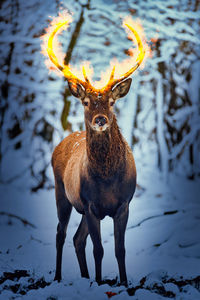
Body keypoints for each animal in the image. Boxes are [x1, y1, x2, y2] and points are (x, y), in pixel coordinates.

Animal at [45, 14, 145, 286]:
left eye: (111, 101)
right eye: (86, 102)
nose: (100, 119)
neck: (107, 179)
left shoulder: (123, 204)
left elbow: (119, 249)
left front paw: (123, 283)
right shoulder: (90, 205)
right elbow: (98, 250)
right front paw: (100, 283)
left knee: (77, 239)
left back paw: (84, 276)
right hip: (61, 192)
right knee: (61, 233)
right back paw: (58, 276)